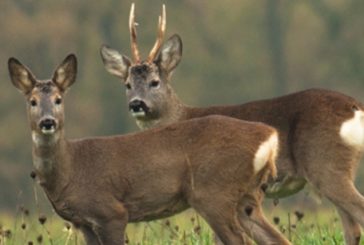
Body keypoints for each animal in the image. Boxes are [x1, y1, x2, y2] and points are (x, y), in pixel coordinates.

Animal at [8, 54, 290, 245]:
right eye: (32, 101)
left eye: (58, 100)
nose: (47, 122)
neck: (70, 170)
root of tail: (269, 136)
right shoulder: (83, 222)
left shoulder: (111, 211)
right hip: (247, 197)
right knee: (276, 239)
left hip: (214, 191)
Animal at [100, 2, 364, 244]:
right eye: (127, 85)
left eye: (154, 82)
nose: (137, 104)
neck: (181, 117)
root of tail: (355, 107)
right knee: (351, 228)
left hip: (325, 164)